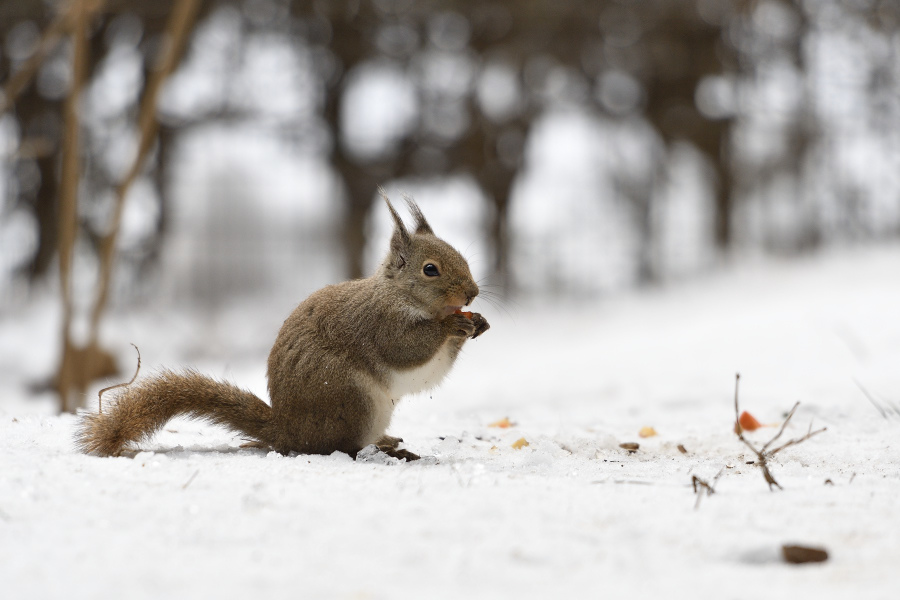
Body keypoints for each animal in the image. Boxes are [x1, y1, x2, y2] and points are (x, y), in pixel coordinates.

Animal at [74, 195, 488, 462]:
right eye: (430, 269)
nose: (472, 293)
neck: (398, 295)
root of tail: (287, 430)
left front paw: (477, 324)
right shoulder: (378, 324)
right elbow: (407, 349)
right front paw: (452, 324)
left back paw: (387, 442)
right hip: (352, 399)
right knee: (337, 448)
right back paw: (388, 452)